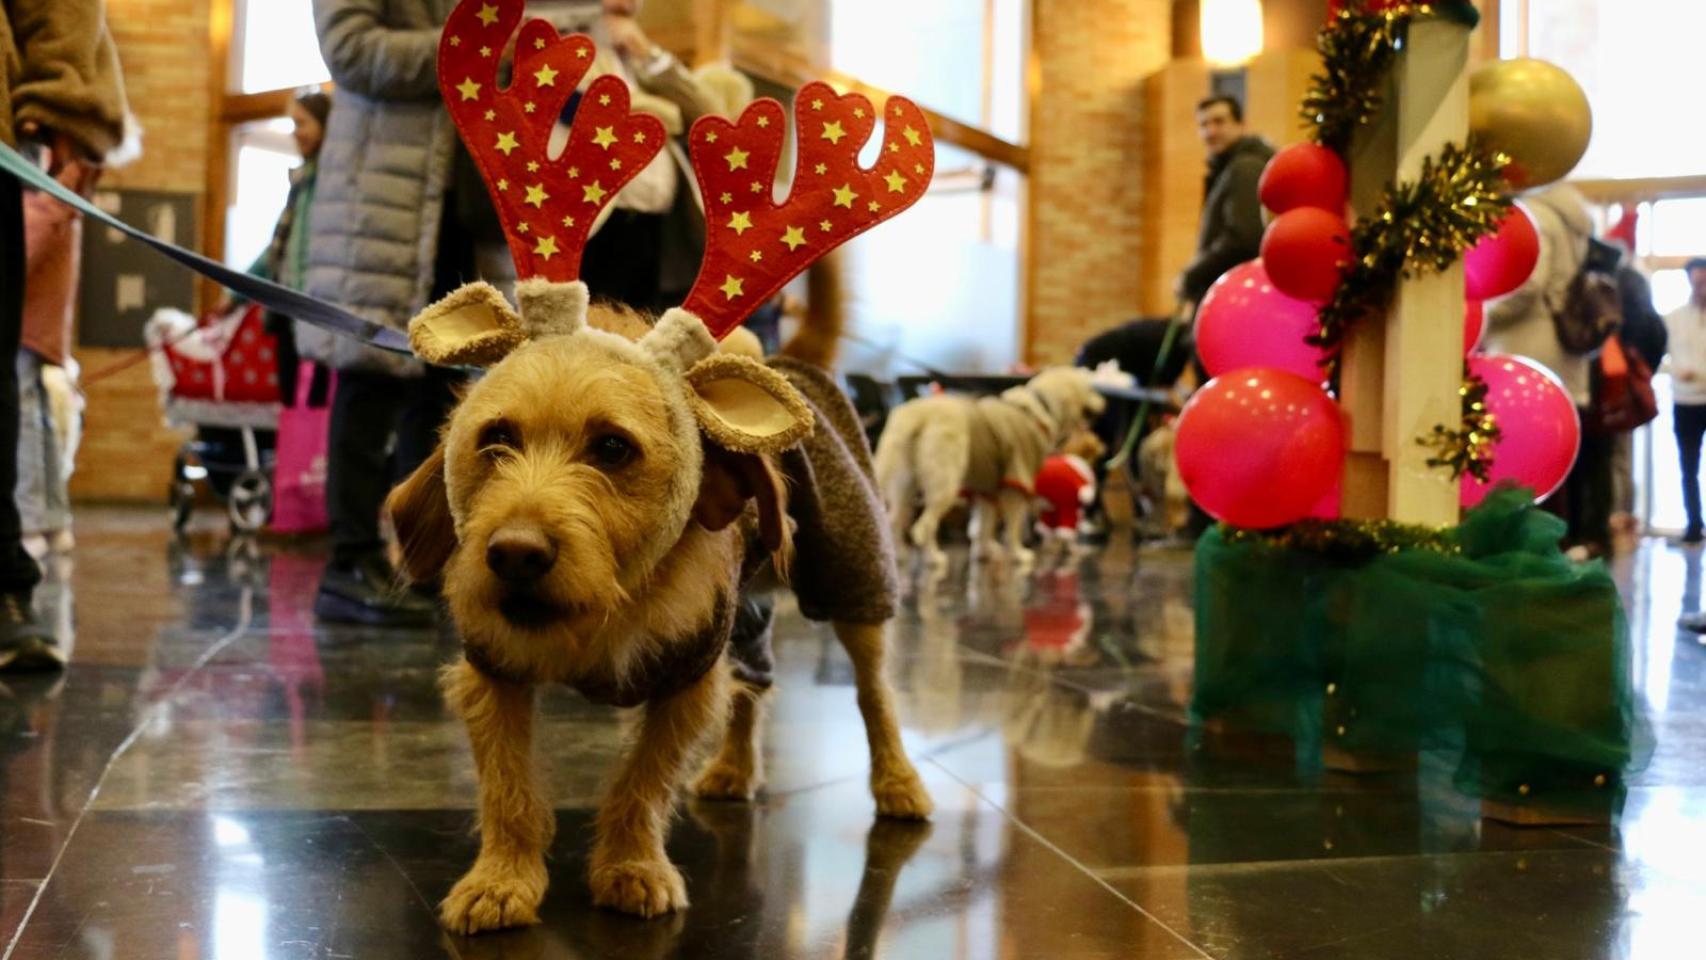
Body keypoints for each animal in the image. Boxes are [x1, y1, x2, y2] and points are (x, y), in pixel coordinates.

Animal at [383, 276, 934, 934]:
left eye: (613, 447)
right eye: (496, 439)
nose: (514, 554)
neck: (604, 612)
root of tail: (785, 364)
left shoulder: (688, 678)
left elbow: (644, 780)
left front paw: (632, 867)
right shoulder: (494, 674)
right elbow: (506, 783)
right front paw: (502, 879)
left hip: (854, 582)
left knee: (874, 692)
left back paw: (898, 781)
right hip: (745, 613)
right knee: (753, 684)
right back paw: (735, 768)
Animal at [880, 370, 1105, 569]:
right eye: (1090, 388)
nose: (1105, 403)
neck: (1040, 407)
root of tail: (918, 415)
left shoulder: (986, 490)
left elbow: (983, 527)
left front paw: (983, 553)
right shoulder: (1016, 484)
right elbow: (1013, 528)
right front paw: (1018, 554)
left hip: (904, 485)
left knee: (894, 520)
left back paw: (898, 557)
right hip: (944, 483)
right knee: (924, 527)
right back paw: (933, 558)